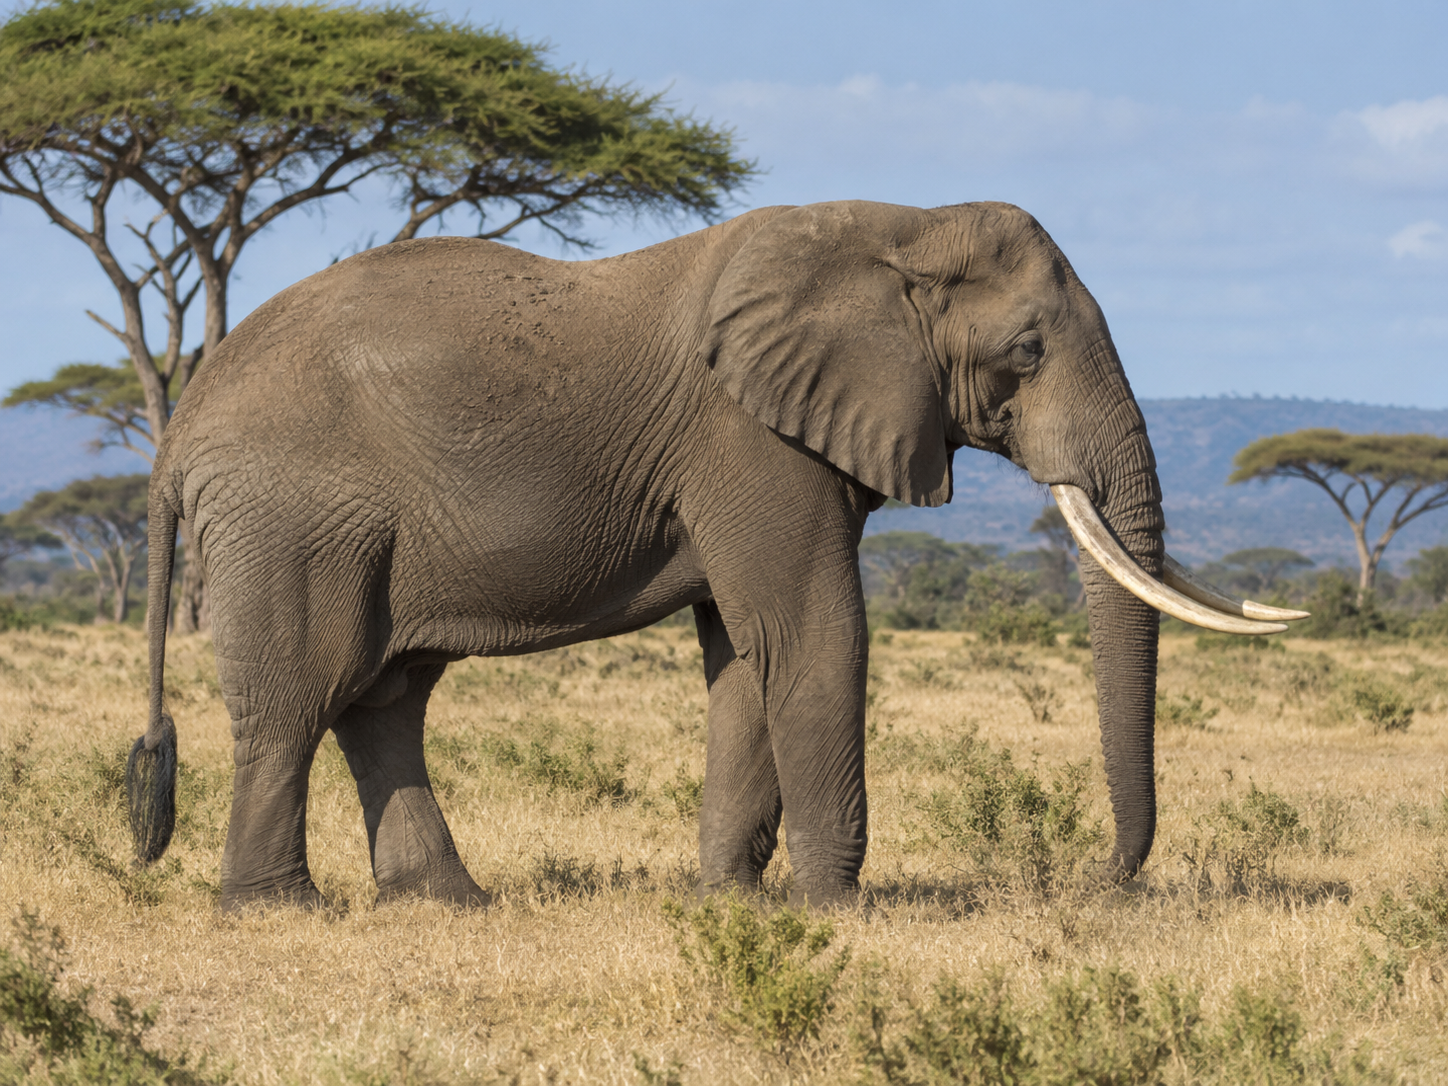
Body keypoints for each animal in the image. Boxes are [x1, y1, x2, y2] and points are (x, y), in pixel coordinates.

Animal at [126, 199, 1305, 912]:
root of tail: (180, 428)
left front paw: (729, 902)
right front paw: (833, 908)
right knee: (302, 696)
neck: (896, 225)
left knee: (385, 698)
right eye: (1025, 350)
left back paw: (446, 902)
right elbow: (813, 633)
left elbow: (746, 654)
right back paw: (277, 907)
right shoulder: (749, 437)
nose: (1104, 881)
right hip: (290, 517)